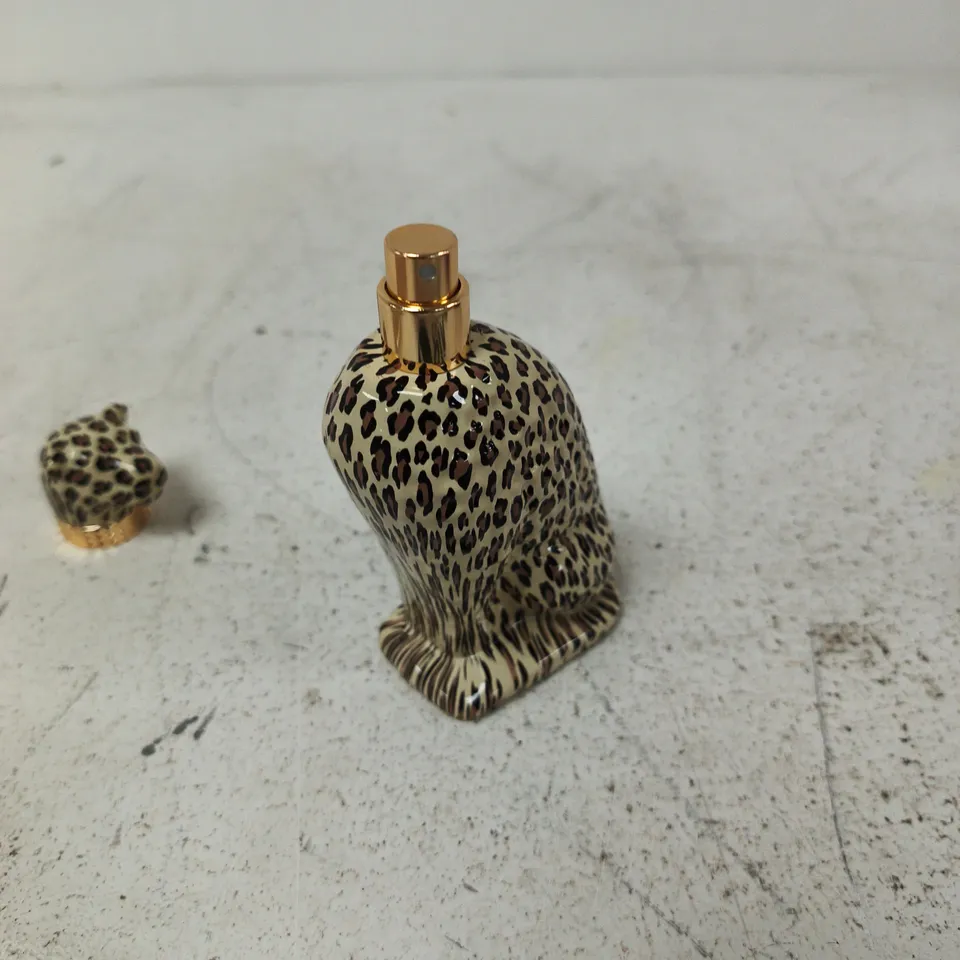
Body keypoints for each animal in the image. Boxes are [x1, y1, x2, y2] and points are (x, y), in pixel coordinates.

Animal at [323, 321, 621, 720]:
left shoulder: (466, 560)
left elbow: (465, 629)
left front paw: (464, 681)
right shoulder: (407, 554)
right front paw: (413, 650)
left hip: (550, 564)